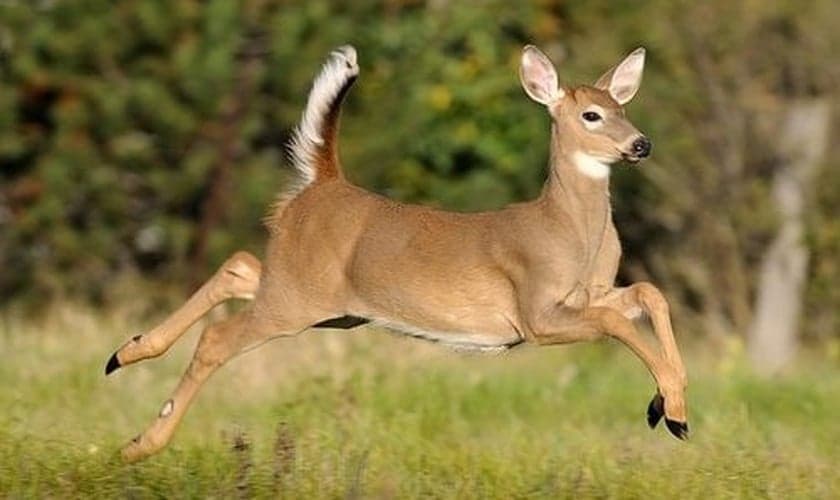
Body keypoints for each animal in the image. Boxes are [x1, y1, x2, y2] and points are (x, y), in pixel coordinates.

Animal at [105, 44, 688, 462]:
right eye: (592, 115)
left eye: (622, 107)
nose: (641, 144)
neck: (567, 229)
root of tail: (322, 184)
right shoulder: (535, 312)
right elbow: (616, 323)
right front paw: (674, 409)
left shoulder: (589, 294)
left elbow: (649, 293)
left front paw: (668, 403)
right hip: (295, 300)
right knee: (218, 337)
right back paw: (138, 444)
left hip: (322, 301)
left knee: (240, 266)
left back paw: (125, 352)